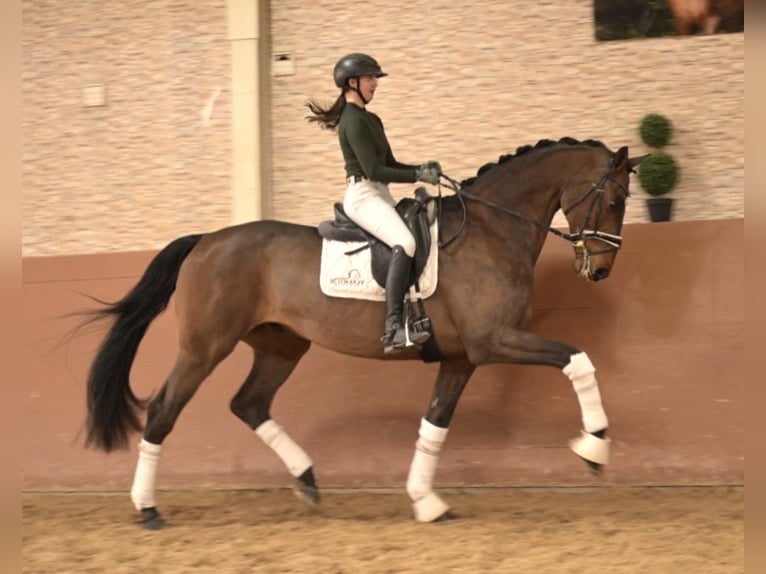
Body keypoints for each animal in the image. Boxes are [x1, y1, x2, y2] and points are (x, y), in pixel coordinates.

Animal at [82, 137, 644, 529]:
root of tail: (205, 241)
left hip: (281, 345)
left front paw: (426, 501)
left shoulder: (462, 358)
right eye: (616, 201)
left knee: (249, 404)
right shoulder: (494, 341)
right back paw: (147, 508)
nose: (602, 270)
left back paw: (307, 479)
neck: (490, 231)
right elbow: (577, 358)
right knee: (163, 411)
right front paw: (594, 446)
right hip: (204, 348)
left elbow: (434, 425)